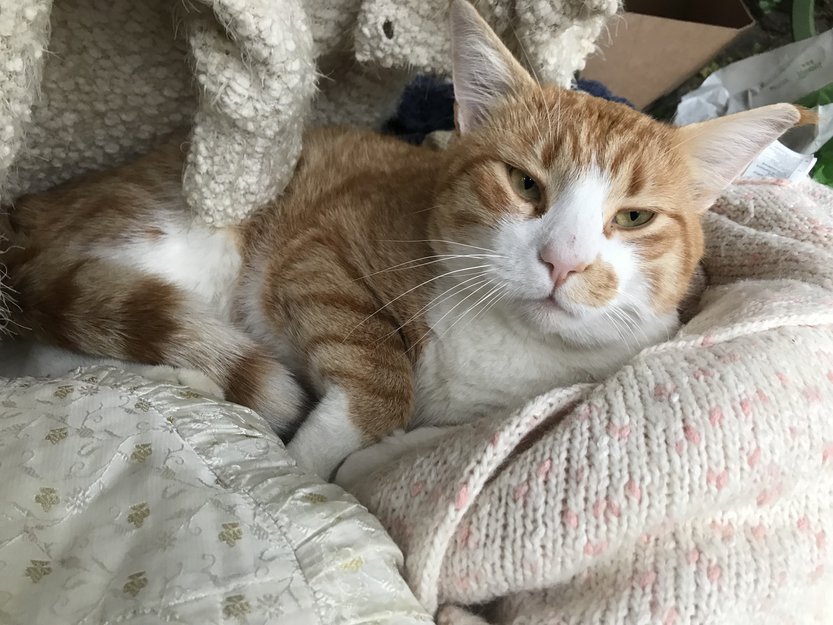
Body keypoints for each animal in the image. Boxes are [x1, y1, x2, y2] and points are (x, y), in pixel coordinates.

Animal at [0, 0, 813, 480]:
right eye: (525, 185)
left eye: (634, 219)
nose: (563, 262)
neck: (502, 346)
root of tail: (30, 212)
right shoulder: (318, 250)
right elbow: (378, 375)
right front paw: (309, 463)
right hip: (178, 241)